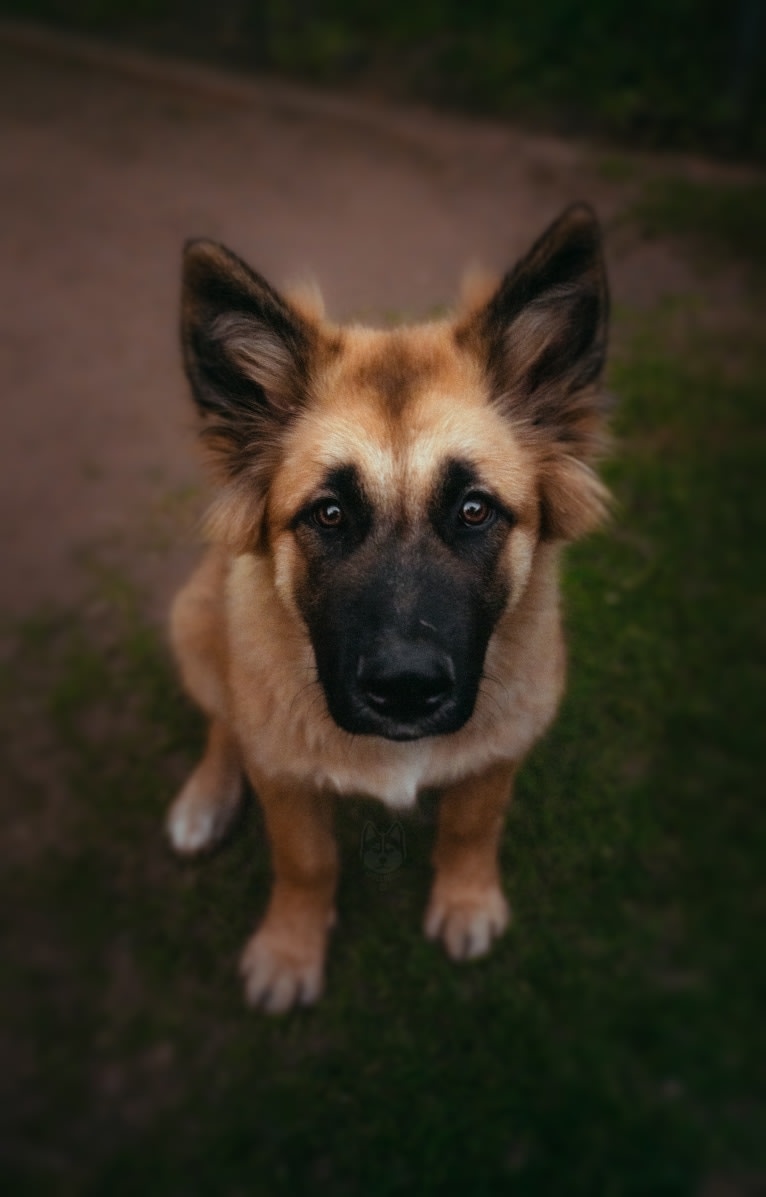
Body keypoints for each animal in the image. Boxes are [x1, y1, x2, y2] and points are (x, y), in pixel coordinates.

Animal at [166, 203, 610, 1010]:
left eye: (474, 510)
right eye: (330, 514)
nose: (405, 689)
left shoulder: (499, 750)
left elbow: (472, 827)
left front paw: (466, 900)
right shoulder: (284, 776)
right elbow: (305, 861)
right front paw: (290, 948)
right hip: (193, 620)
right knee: (224, 719)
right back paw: (206, 797)